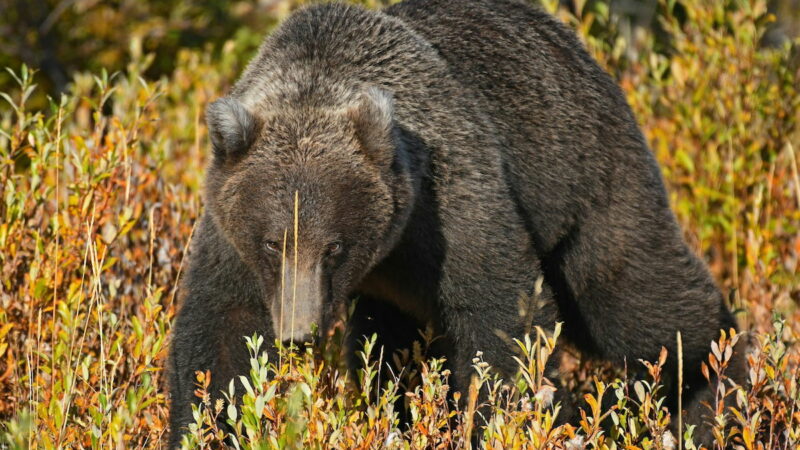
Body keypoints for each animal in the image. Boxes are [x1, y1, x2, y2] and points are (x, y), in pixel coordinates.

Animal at [167, 0, 744, 444]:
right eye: (272, 242)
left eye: (333, 246)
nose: (298, 331)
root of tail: (577, 47)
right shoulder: (229, 231)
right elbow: (220, 333)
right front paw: (205, 427)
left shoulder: (453, 198)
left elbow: (503, 317)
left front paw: (498, 424)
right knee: (387, 351)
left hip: (589, 182)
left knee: (634, 302)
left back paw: (716, 395)